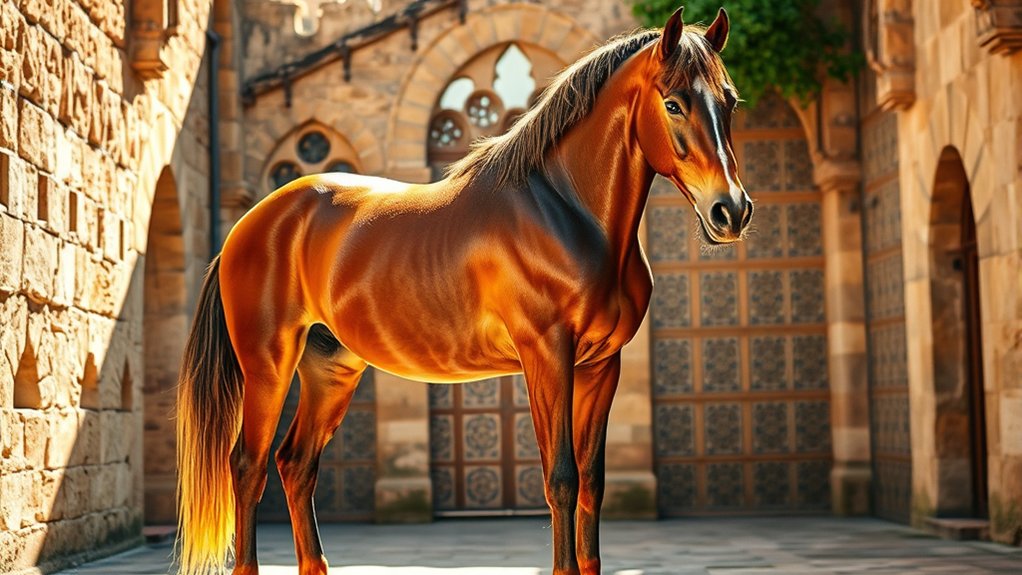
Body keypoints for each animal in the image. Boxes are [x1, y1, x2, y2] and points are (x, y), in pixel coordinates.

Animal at [176, 6, 751, 575]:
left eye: (730, 100)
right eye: (672, 103)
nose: (731, 211)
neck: (566, 210)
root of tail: (247, 225)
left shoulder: (601, 364)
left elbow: (592, 482)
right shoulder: (547, 355)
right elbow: (561, 478)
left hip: (331, 368)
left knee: (296, 464)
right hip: (268, 366)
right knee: (247, 467)